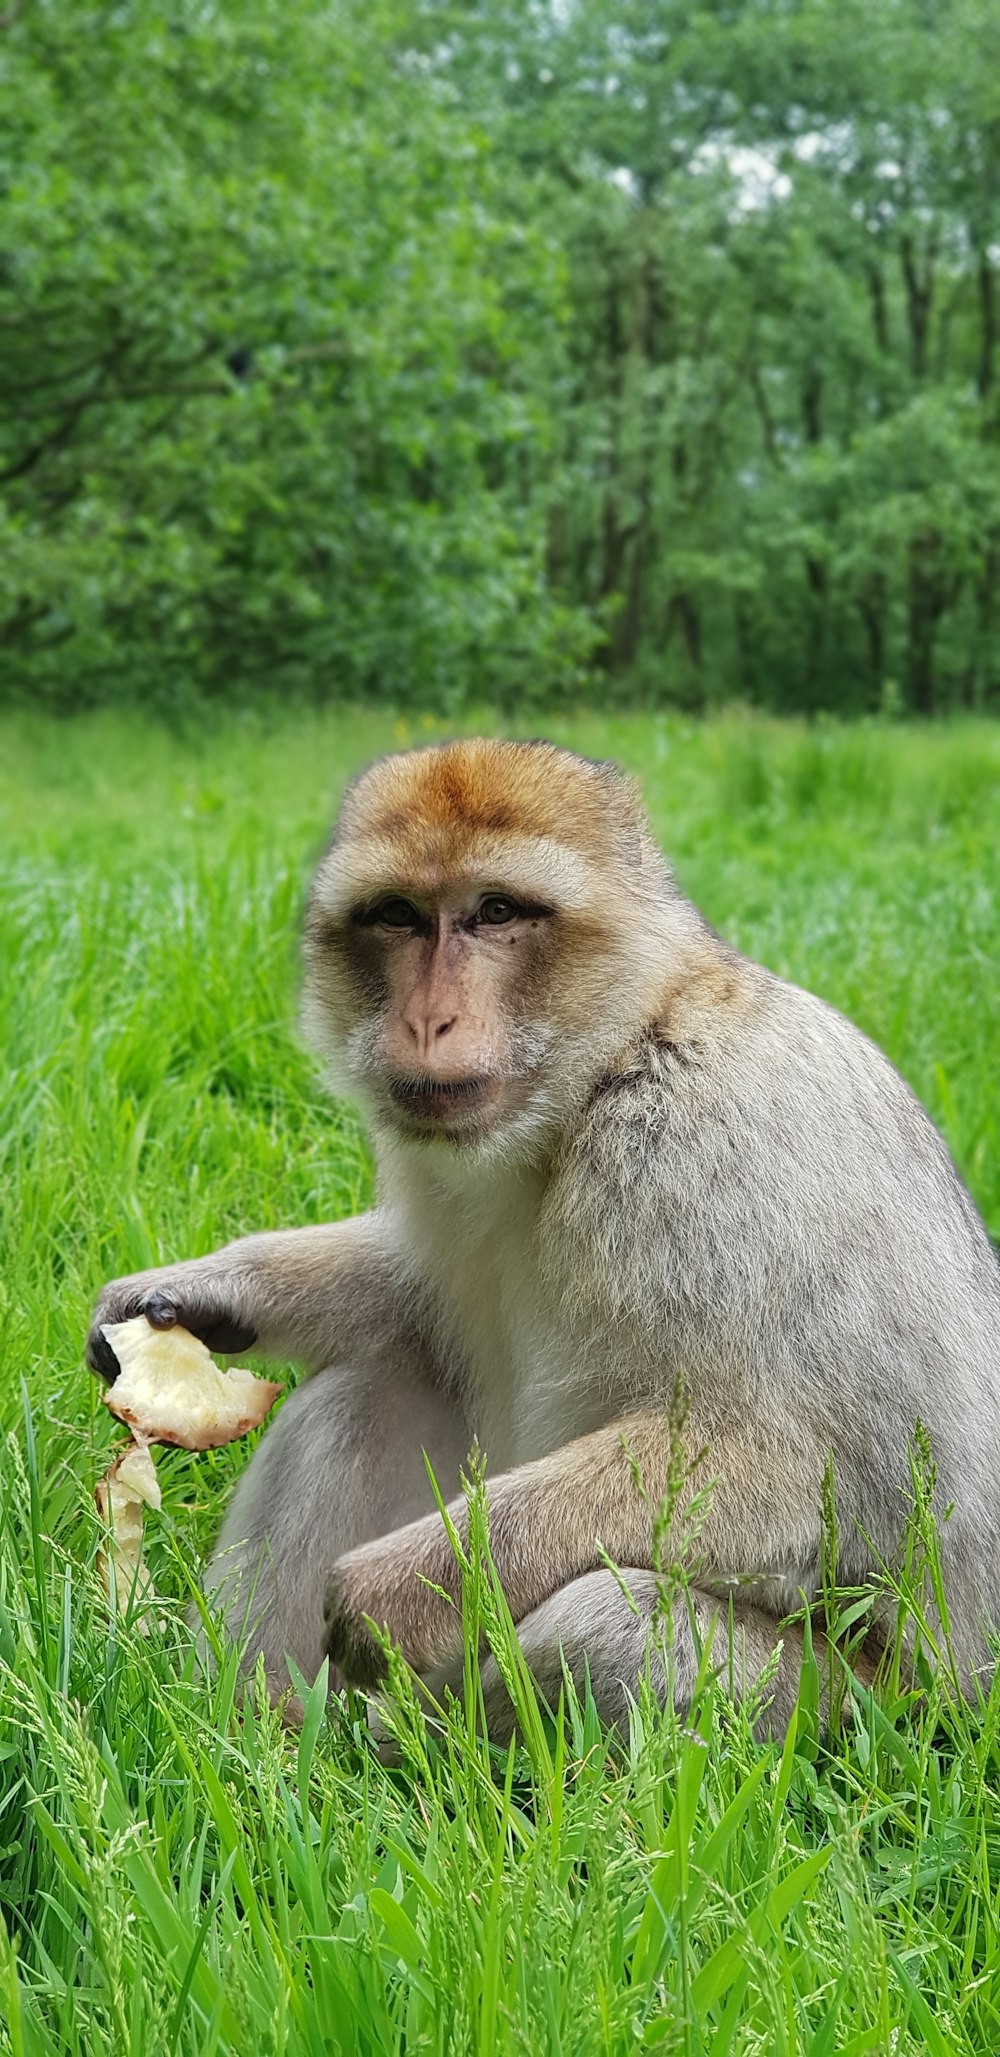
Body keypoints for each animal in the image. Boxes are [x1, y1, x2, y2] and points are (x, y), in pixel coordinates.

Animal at [87, 740, 1000, 1736]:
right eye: (399, 916)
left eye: (496, 912)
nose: (429, 1020)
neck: (605, 1068)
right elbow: (418, 1296)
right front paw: (200, 1291)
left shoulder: (705, 1156)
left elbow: (821, 1472)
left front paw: (402, 1589)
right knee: (362, 1394)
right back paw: (264, 1733)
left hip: (872, 1713)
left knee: (605, 1625)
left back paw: (407, 1745)